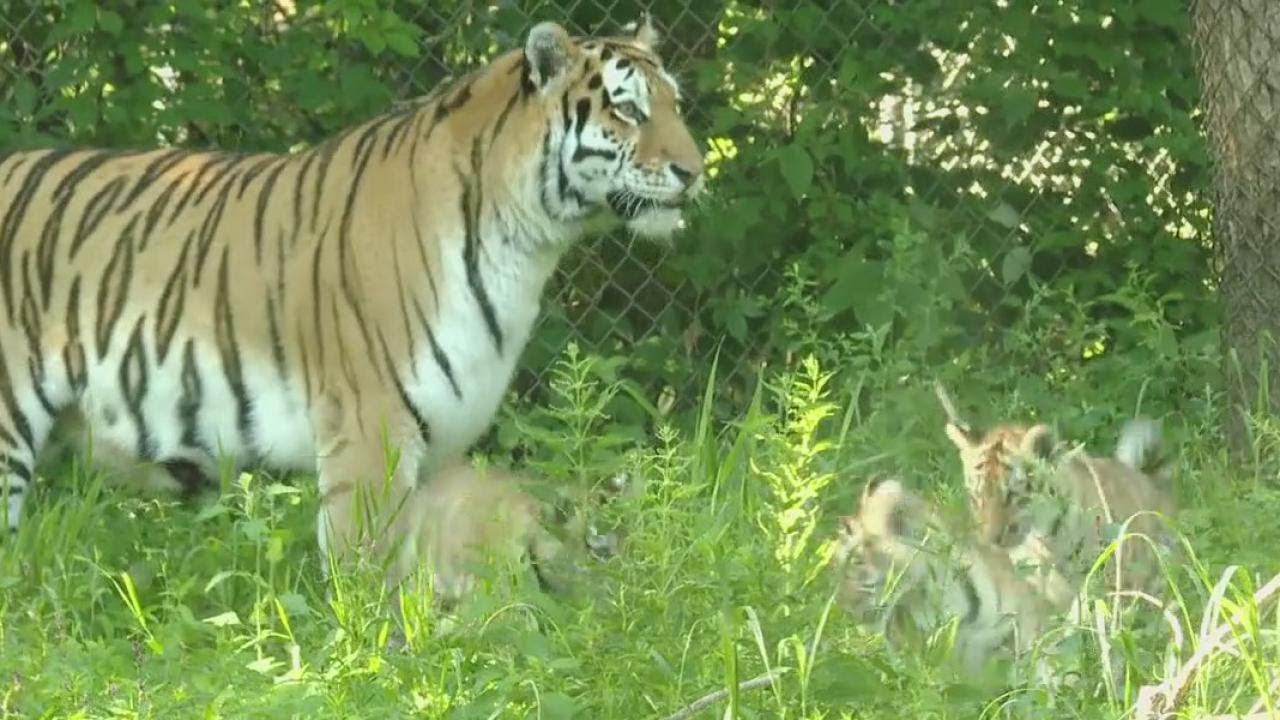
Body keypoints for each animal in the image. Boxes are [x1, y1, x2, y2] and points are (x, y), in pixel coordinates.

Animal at [0, 15, 705, 587]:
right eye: (627, 111)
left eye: (676, 106)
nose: (695, 172)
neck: (526, 241)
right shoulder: (372, 423)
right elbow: (368, 567)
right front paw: (370, 656)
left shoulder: (441, 442)